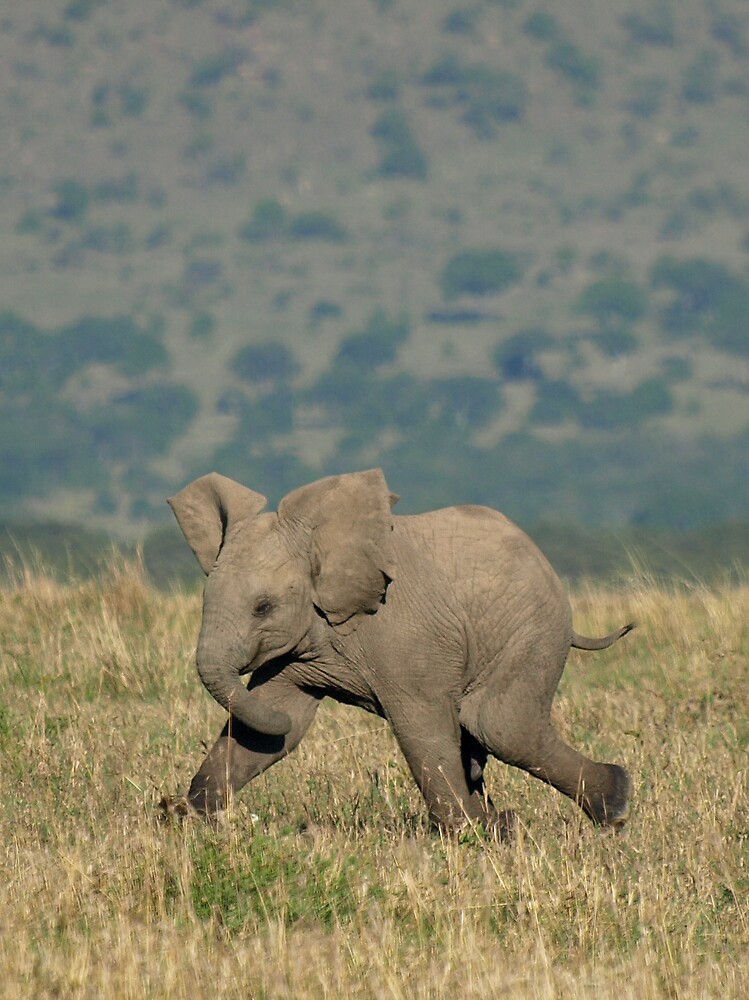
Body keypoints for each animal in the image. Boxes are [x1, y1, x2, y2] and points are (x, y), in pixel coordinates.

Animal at [164, 468, 632, 836]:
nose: (174, 805)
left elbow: (420, 725)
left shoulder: (406, 636)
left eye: (263, 607)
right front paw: (185, 815)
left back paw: (612, 810)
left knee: (497, 725)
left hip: (530, 630)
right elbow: (276, 728)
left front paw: (468, 834)